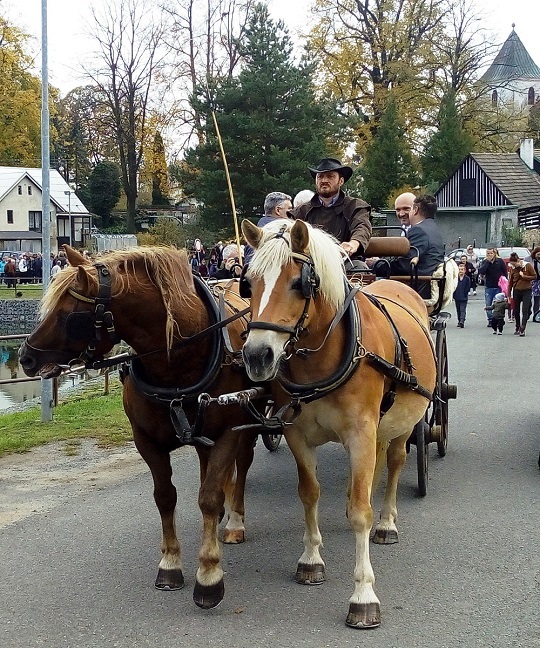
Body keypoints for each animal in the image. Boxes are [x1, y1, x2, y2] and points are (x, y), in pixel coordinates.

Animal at [20, 246, 264, 612]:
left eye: (68, 313)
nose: (25, 357)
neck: (177, 363)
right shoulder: (146, 441)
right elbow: (165, 497)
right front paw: (170, 564)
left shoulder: (228, 433)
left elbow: (209, 496)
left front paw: (208, 575)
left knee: (242, 466)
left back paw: (234, 520)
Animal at [240, 218, 438, 628]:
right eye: (248, 283)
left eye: (299, 283)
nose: (257, 355)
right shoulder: (297, 435)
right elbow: (310, 493)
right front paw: (311, 559)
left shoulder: (361, 433)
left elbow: (362, 511)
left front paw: (363, 594)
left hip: (405, 422)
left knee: (395, 462)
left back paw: (386, 522)